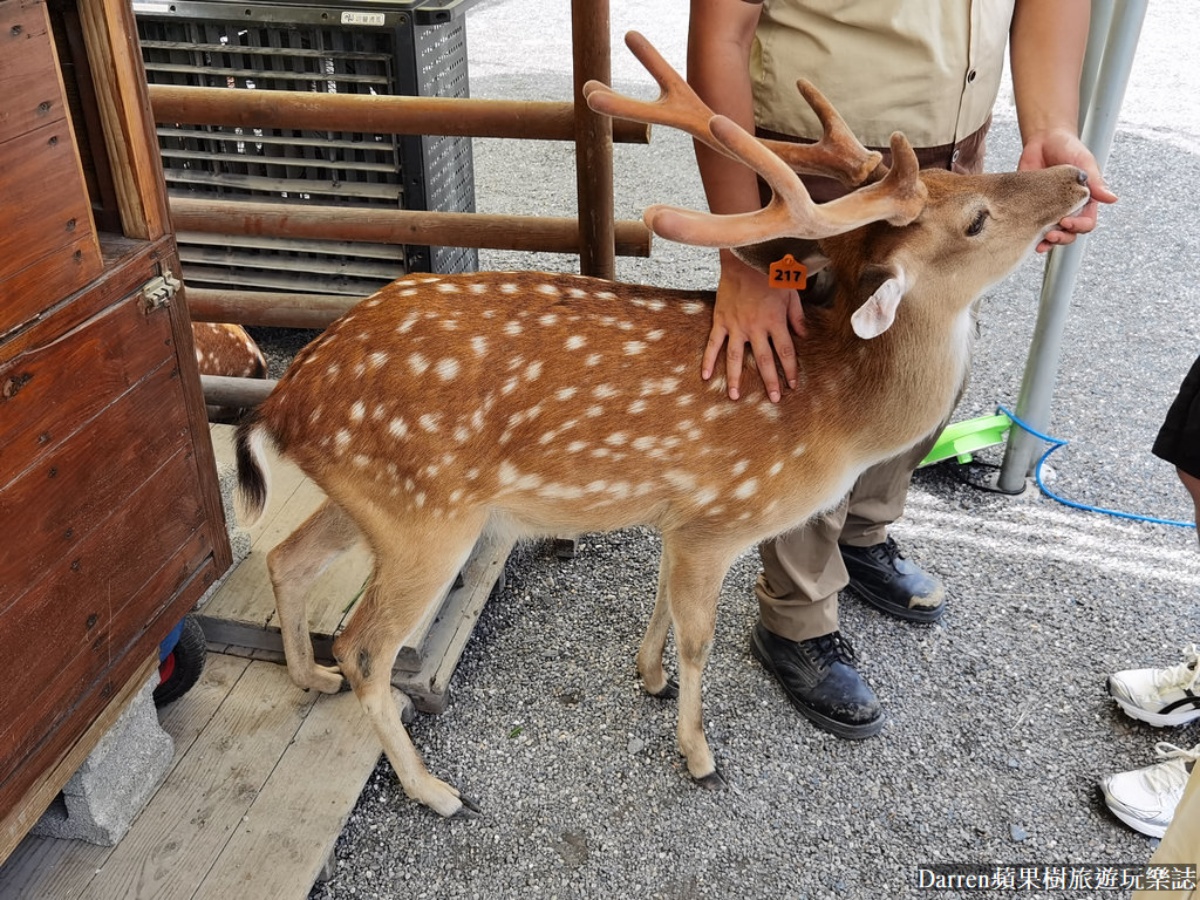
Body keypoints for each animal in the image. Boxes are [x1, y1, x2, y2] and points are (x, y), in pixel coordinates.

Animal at [229, 31, 1094, 816]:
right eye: (977, 219)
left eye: (957, 173)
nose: (1076, 175)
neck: (831, 413)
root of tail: (285, 396)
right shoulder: (722, 513)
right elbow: (699, 635)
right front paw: (698, 752)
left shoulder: (679, 514)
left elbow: (661, 604)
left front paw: (647, 676)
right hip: (426, 515)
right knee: (365, 645)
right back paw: (434, 790)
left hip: (371, 501)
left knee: (288, 558)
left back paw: (308, 676)